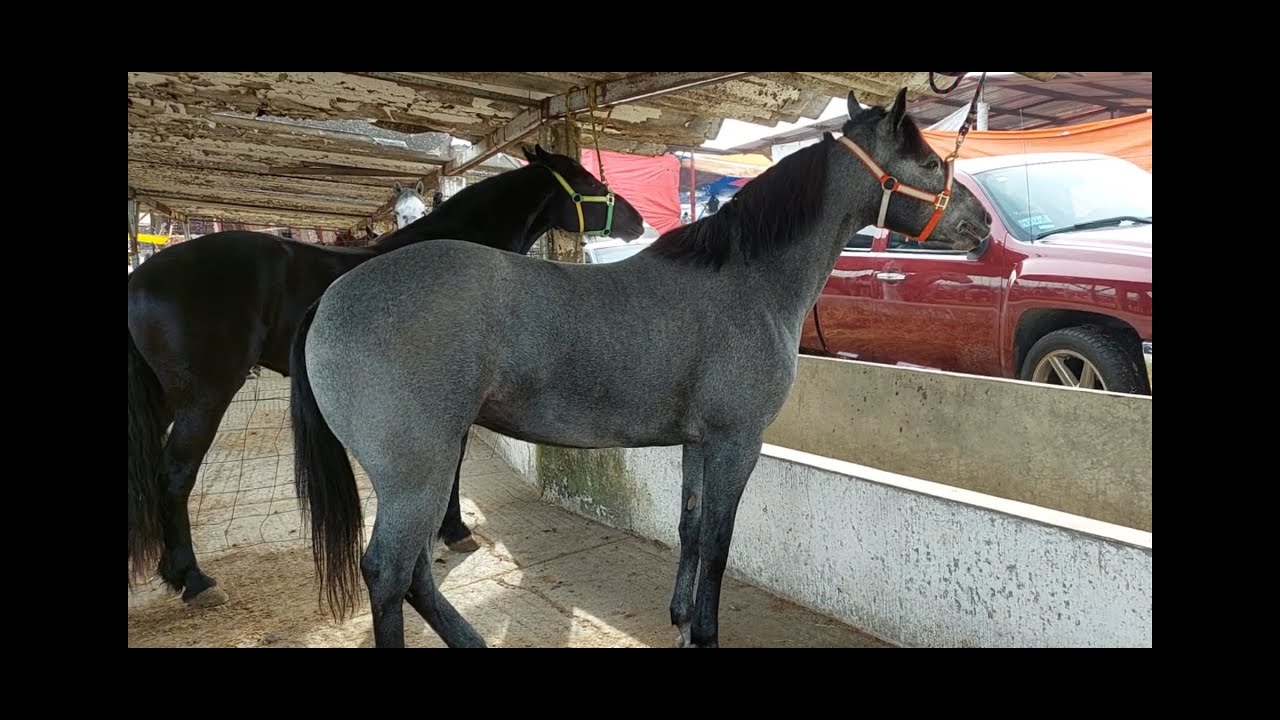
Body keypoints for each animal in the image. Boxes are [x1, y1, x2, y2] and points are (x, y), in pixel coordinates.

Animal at [128, 144, 646, 608]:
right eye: (587, 180)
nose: (638, 221)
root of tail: (142, 276)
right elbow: (454, 465)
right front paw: (454, 530)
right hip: (205, 398)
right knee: (174, 475)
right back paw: (194, 580)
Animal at [289, 88, 994, 648]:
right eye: (931, 162)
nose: (982, 223)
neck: (747, 279)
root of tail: (332, 295)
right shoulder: (737, 443)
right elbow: (718, 544)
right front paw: (704, 631)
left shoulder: (697, 443)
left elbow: (690, 528)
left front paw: (680, 618)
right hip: (418, 470)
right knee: (388, 572)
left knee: (412, 573)